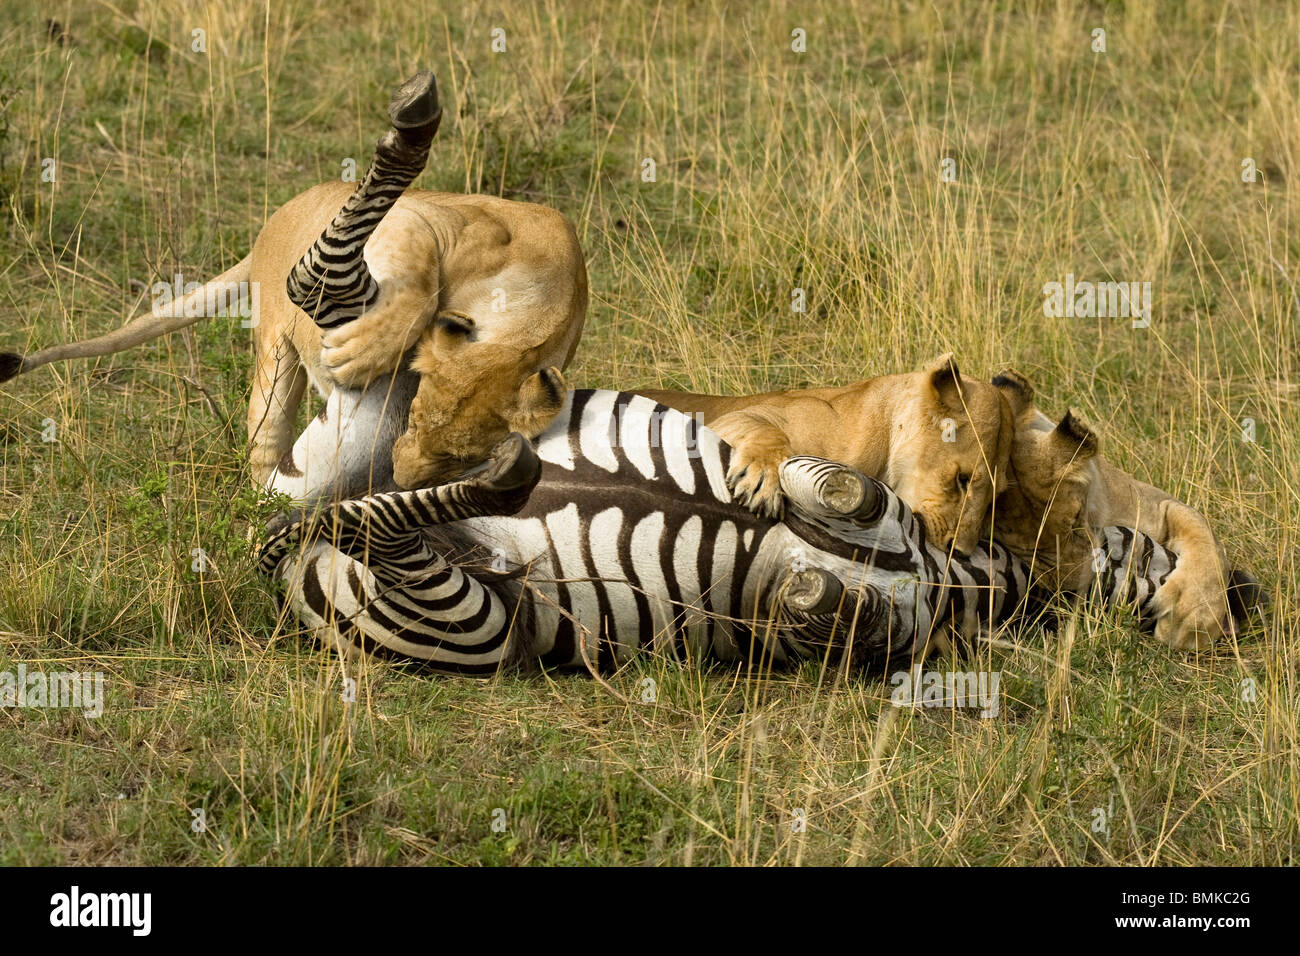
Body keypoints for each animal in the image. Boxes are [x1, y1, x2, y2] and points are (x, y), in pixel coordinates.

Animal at [0, 71, 585, 494]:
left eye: (461, 458)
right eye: (415, 417)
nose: (400, 477)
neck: (536, 316)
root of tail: (270, 226)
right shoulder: (428, 218)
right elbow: (419, 281)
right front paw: (364, 349)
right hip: (273, 370)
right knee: (264, 455)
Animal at [637, 353, 1015, 556]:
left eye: (995, 498)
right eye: (963, 479)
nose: (960, 552)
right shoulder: (730, 417)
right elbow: (770, 434)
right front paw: (762, 482)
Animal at [987, 369, 1265, 650]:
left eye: (1076, 520)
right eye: (1022, 552)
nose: (1073, 592)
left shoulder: (1154, 503)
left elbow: (1203, 534)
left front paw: (1192, 618)